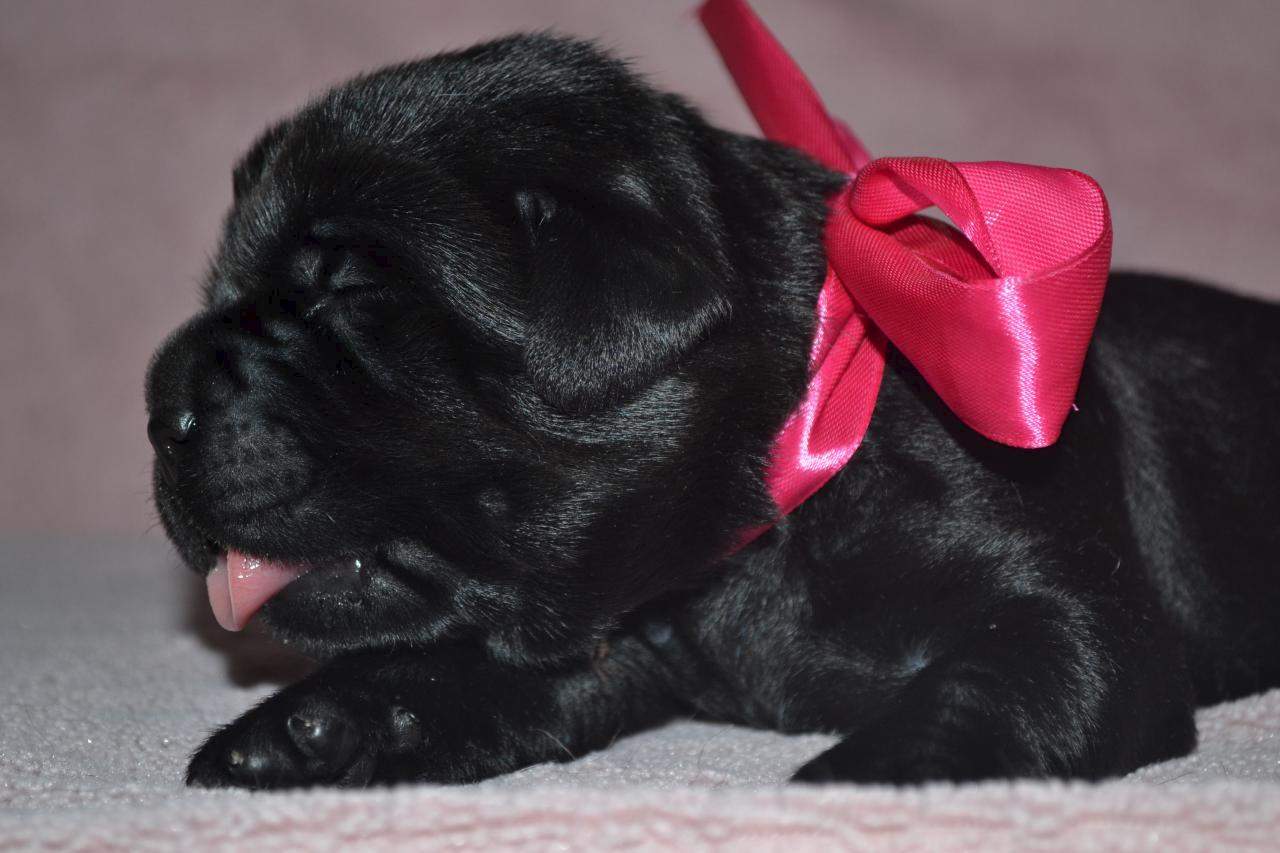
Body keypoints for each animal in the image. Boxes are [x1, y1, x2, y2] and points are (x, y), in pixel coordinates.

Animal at [145, 32, 1280, 789]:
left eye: (345, 289)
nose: (159, 406)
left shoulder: (1071, 622)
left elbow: (970, 702)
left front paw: (848, 786)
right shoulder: (610, 647)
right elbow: (448, 676)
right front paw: (307, 731)